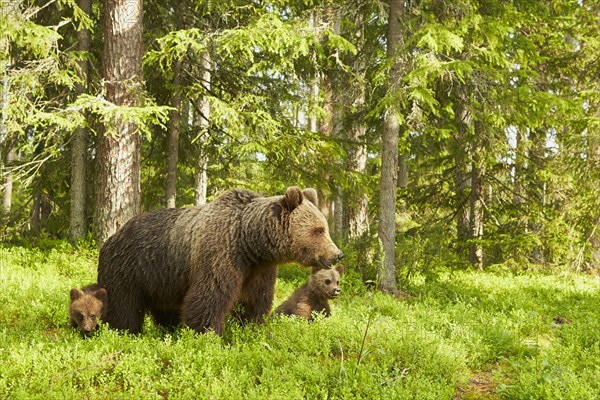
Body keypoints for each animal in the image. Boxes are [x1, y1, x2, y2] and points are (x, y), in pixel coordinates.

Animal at [97, 187, 342, 334]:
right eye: (318, 230)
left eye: (324, 228)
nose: (338, 254)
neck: (248, 242)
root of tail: (113, 236)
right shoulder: (220, 255)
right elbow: (209, 297)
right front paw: (208, 333)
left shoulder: (259, 270)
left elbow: (256, 300)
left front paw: (251, 327)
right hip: (129, 269)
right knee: (123, 307)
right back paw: (123, 331)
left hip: (162, 279)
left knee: (165, 309)